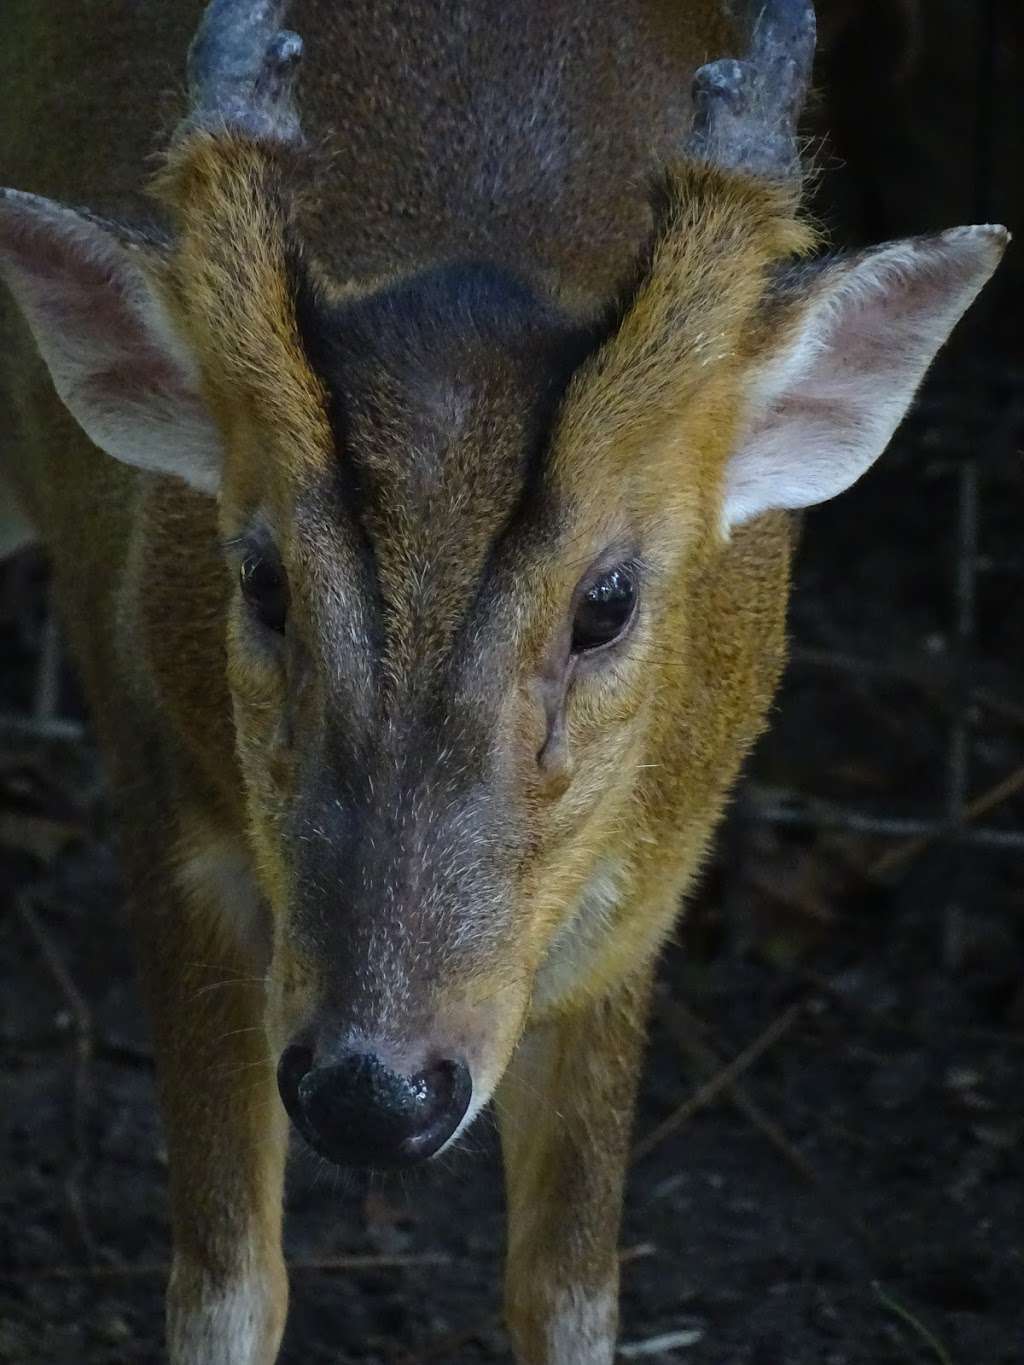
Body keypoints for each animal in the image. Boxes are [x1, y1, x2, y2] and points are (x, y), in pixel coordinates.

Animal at [0, 0, 1010, 1359]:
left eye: (608, 600)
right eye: (261, 579)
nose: (375, 1093)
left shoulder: (637, 904)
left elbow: (570, 1289)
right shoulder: (169, 809)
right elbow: (228, 1282)